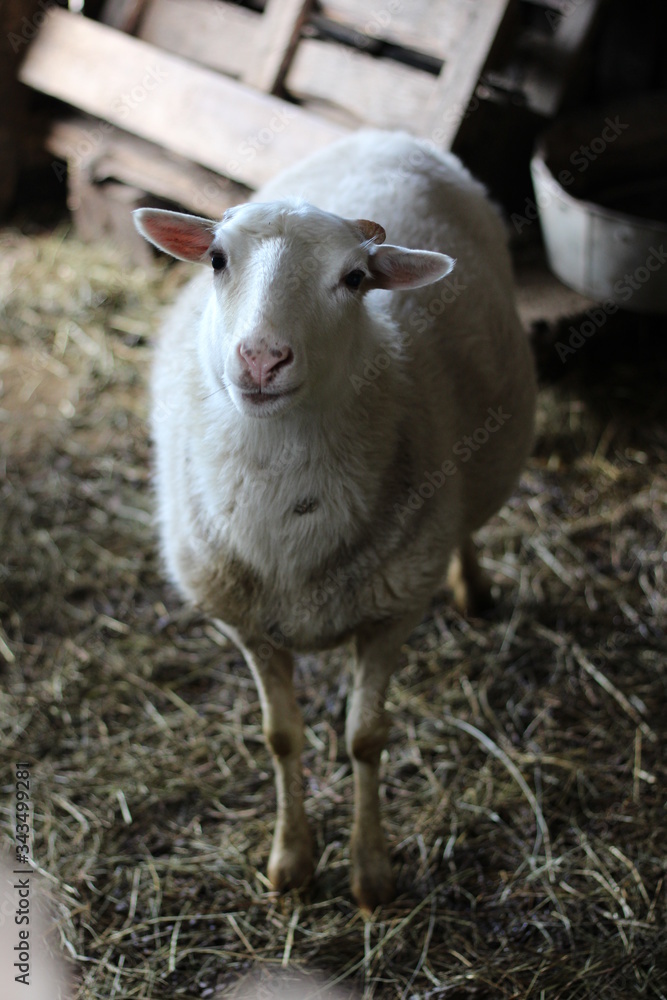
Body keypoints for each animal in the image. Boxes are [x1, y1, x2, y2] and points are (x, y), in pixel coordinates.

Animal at [133, 129, 537, 911]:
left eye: (354, 279)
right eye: (216, 258)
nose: (261, 359)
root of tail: (387, 132)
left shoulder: (392, 611)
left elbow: (365, 740)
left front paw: (370, 871)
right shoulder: (248, 624)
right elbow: (280, 738)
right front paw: (290, 862)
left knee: (466, 522)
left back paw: (472, 587)